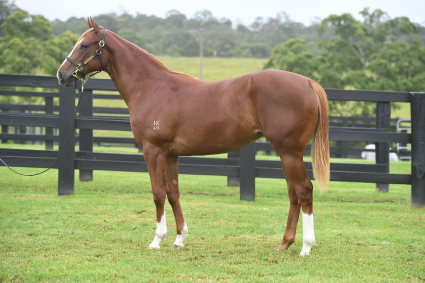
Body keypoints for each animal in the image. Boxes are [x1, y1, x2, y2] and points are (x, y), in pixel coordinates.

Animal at [56, 18, 330, 258]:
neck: (151, 87)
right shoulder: (171, 155)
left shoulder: (153, 150)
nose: (61, 74)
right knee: (293, 194)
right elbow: (173, 193)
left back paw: (306, 247)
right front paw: (179, 239)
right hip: (285, 154)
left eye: (84, 45)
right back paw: (285, 244)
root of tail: (307, 82)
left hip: (289, 152)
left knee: (304, 190)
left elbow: (157, 193)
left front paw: (157, 240)